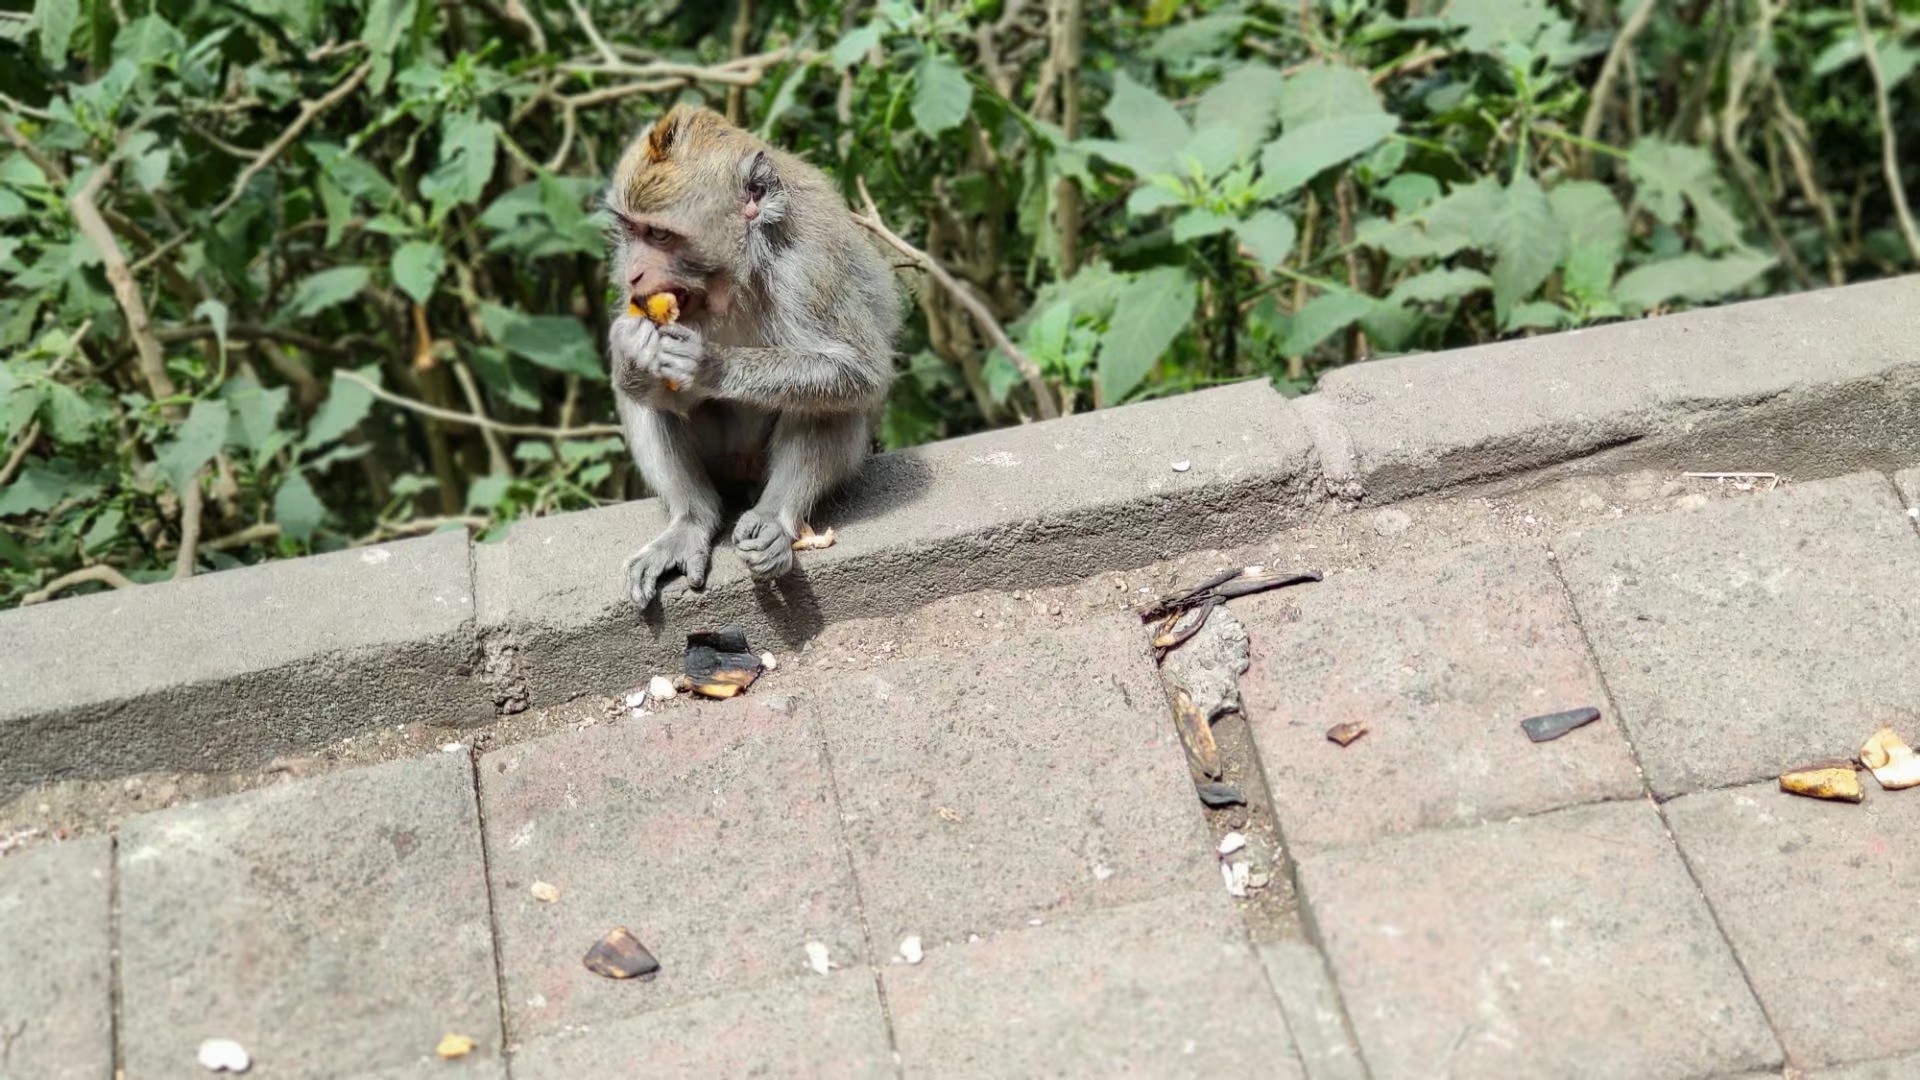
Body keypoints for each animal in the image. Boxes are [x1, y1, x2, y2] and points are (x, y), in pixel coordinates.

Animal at [599, 105, 898, 611]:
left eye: (660, 234)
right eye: (631, 231)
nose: (633, 273)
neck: (729, 279)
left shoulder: (807, 267)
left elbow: (858, 370)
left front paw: (708, 365)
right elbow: (652, 387)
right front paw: (635, 352)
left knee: (829, 402)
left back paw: (775, 521)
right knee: (653, 404)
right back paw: (691, 521)